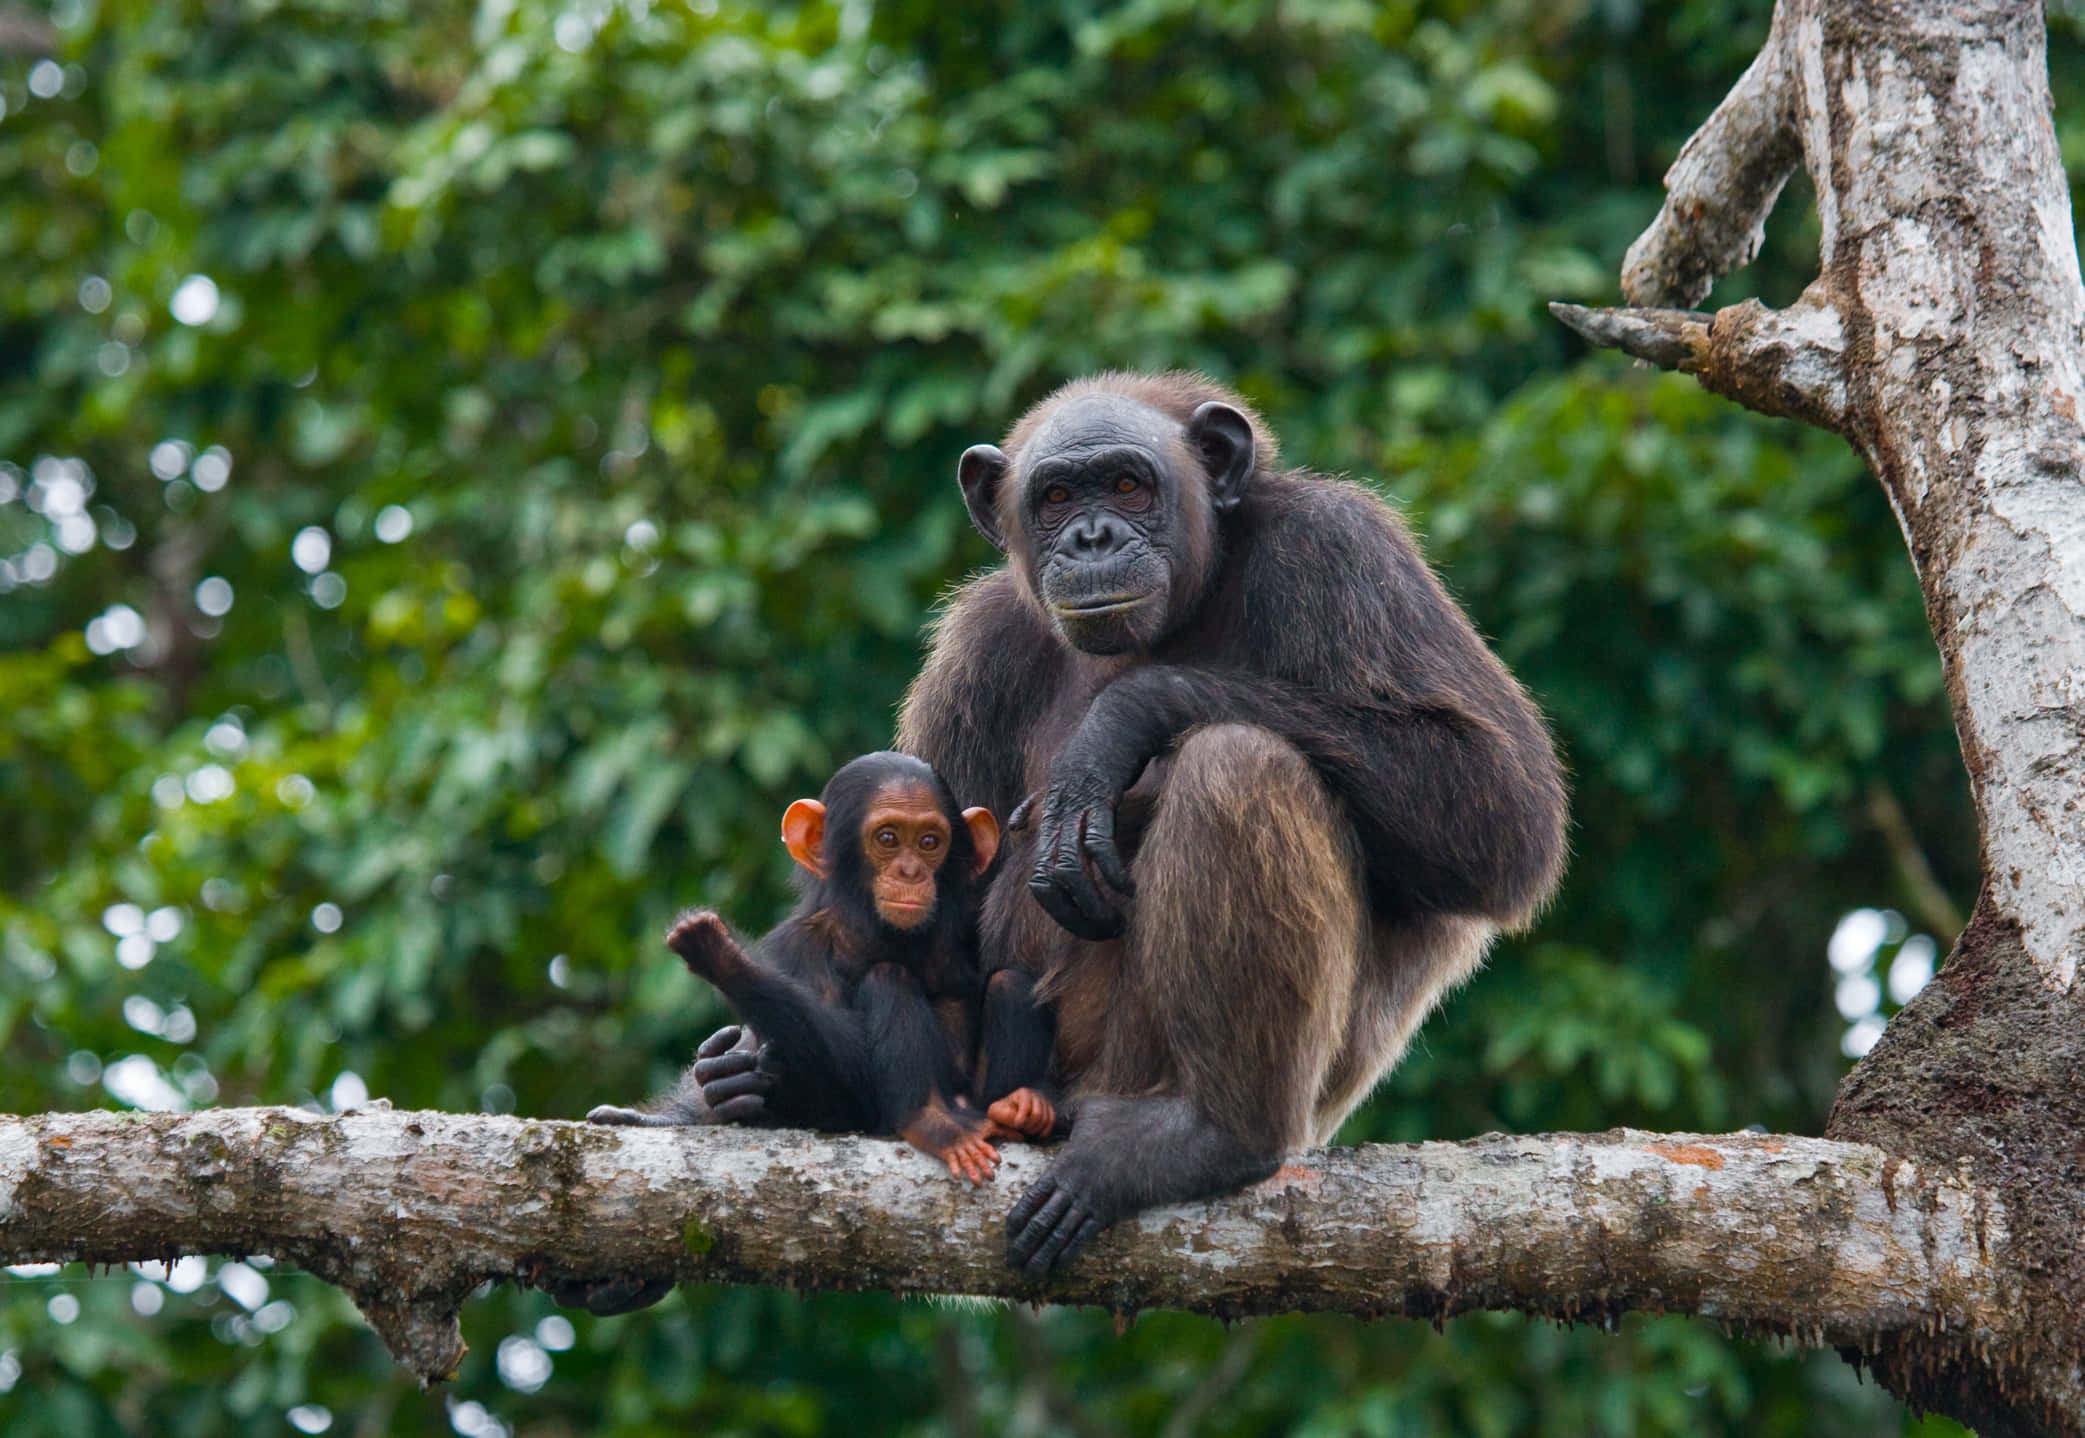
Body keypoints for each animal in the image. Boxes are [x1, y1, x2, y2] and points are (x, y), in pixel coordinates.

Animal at [587, 751, 1061, 1180]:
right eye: (887, 839)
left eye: (929, 842)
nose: (910, 872)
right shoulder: (796, 948)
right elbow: (840, 1076)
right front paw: (723, 958)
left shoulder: (977, 923)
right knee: (887, 979)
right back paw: (932, 1122)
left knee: (1009, 981)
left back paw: (1022, 1107)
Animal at [693, 372, 1567, 1276]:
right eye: (1054, 497)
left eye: (1124, 485)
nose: (1091, 536)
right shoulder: (976, 650)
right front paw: (739, 1072)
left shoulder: (1343, 550)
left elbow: (1498, 804)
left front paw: (1117, 725)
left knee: (1238, 764)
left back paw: (1210, 1136)